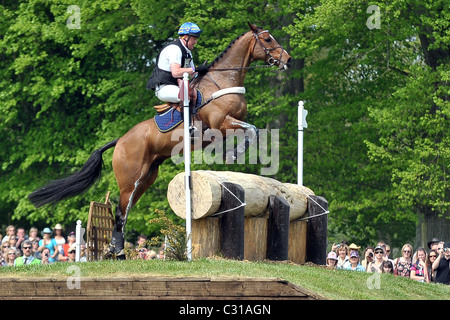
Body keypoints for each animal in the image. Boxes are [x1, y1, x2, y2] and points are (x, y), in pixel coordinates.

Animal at [28, 22, 292, 258]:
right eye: (267, 39)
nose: (287, 60)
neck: (224, 80)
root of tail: (120, 141)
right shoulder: (220, 124)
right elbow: (252, 130)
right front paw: (233, 155)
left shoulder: (229, 124)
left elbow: (252, 131)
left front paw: (232, 154)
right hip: (130, 180)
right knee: (121, 212)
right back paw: (118, 252)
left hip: (146, 177)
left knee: (124, 211)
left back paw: (114, 251)